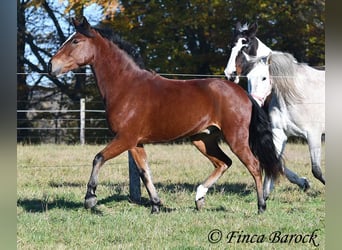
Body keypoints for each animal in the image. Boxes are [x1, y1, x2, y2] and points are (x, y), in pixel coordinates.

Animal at [48, 16, 284, 214]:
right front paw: (156, 205)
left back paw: (261, 206)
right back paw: (199, 198)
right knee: (223, 163)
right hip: (202, 139)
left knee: (254, 165)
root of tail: (243, 94)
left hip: (236, 138)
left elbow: (98, 157)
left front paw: (90, 198)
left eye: (75, 41)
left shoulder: (125, 138)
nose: (51, 66)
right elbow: (145, 173)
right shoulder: (136, 143)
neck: (126, 87)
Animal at [226, 22, 324, 199]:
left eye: (245, 45)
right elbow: (274, 163)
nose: (230, 74)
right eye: (231, 45)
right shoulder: (279, 133)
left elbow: (316, 170)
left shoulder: (313, 134)